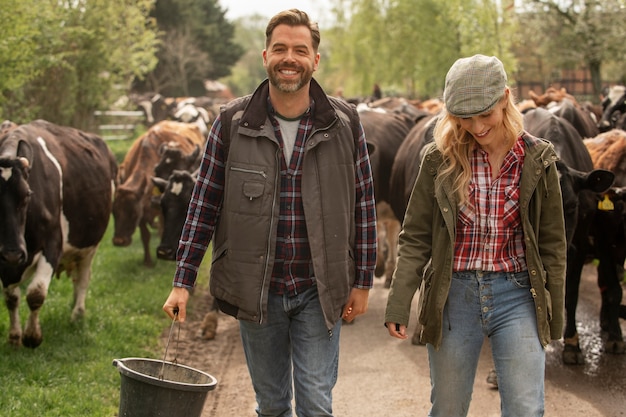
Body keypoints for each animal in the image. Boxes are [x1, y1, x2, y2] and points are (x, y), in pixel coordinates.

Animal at [0, 119, 117, 348]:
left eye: (27, 195)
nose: (13, 253)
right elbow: (11, 297)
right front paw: (14, 336)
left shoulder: (53, 243)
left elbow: (36, 293)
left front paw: (32, 336)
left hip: (91, 246)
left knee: (83, 278)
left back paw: (77, 314)